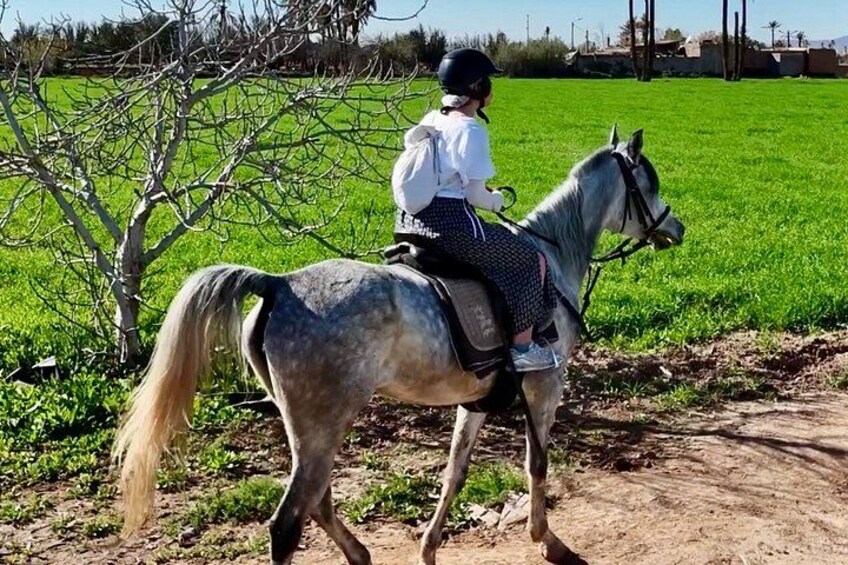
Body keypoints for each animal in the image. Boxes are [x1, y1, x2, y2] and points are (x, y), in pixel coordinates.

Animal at [114, 126, 685, 565]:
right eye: (650, 183)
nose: (676, 226)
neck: (552, 256)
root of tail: (278, 283)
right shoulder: (544, 388)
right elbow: (536, 465)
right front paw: (548, 542)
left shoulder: (476, 400)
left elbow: (454, 471)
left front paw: (429, 548)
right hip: (323, 423)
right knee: (289, 522)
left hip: (309, 427)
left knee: (318, 502)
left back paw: (361, 555)